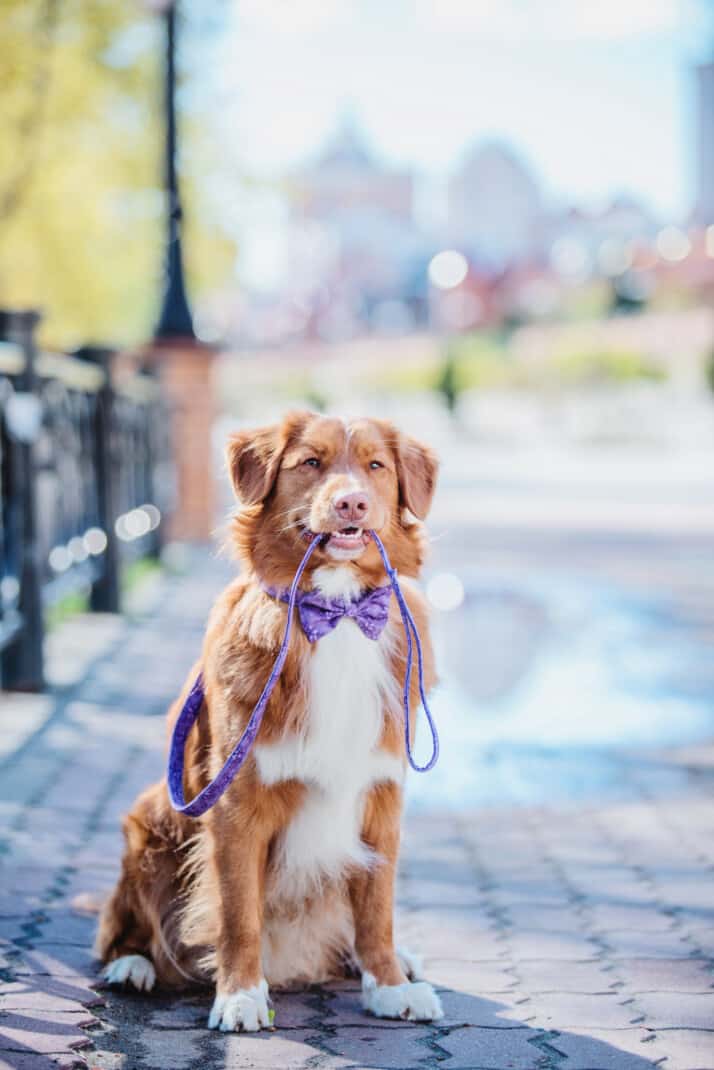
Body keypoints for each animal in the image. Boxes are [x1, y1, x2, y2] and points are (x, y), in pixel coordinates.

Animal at [94, 408, 441, 1027]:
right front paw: (239, 996)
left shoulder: (382, 796)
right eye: (312, 462)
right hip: (151, 817)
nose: (352, 503)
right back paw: (132, 966)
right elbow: (239, 914)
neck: (337, 614)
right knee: (123, 925)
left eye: (376, 466)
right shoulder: (237, 804)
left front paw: (388, 983)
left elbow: (377, 907)